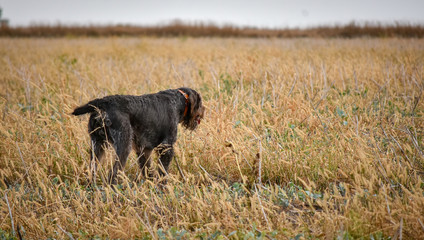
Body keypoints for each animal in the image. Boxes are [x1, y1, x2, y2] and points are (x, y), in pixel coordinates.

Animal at [72, 87, 205, 185]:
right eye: (200, 103)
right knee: (113, 174)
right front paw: (162, 187)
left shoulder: (143, 149)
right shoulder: (166, 147)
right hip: (123, 146)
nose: (204, 110)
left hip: (97, 146)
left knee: (91, 171)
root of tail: (103, 102)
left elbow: (147, 170)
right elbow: (162, 172)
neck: (178, 101)